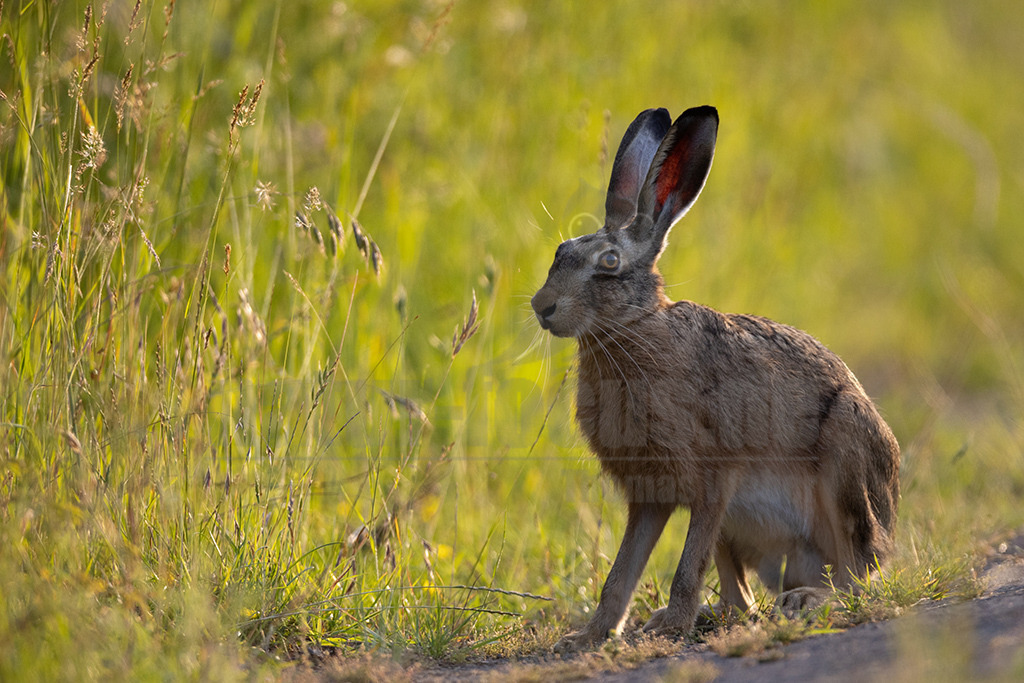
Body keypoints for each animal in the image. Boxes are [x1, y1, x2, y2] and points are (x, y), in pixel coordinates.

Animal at [531, 106, 900, 653]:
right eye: (560, 250)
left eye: (609, 263)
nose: (543, 307)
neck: (634, 331)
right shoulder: (650, 494)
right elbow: (620, 575)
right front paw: (588, 638)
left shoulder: (711, 479)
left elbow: (687, 566)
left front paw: (671, 627)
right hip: (740, 525)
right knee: (741, 600)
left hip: (845, 468)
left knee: (858, 574)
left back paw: (807, 601)